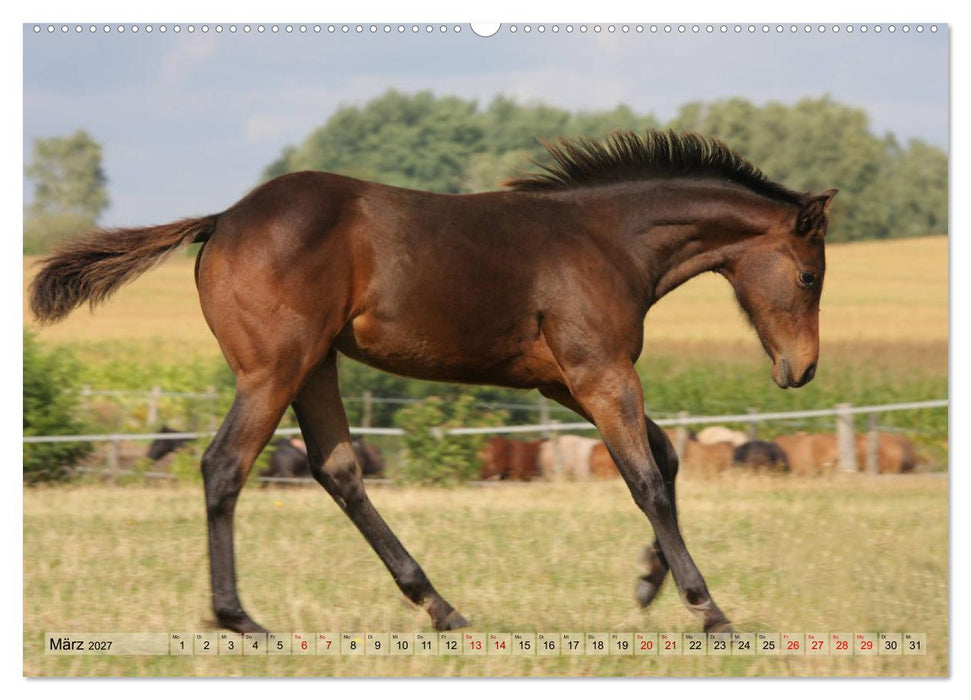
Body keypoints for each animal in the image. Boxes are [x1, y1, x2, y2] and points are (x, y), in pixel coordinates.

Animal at [29, 129, 836, 634]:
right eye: (809, 276)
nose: (799, 371)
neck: (605, 240)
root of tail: (222, 218)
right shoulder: (599, 372)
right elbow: (645, 478)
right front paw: (708, 609)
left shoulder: (563, 382)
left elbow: (664, 459)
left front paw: (647, 580)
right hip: (273, 367)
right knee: (225, 465)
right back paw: (239, 618)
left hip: (315, 366)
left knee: (338, 469)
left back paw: (439, 606)